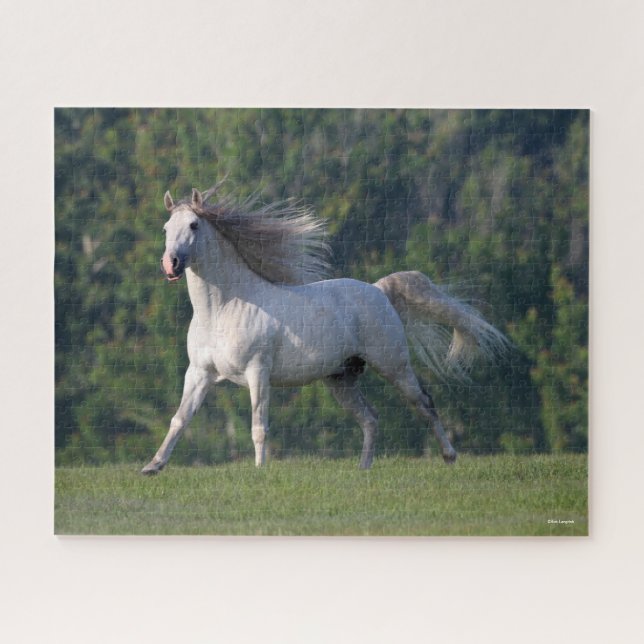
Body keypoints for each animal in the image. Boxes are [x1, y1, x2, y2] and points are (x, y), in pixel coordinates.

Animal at [141, 186, 508, 474]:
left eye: (193, 224)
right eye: (165, 228)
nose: (171, 264)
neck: (223, 309)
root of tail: (378, 291)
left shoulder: (258, 372)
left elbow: (259, 426)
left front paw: (259, 471)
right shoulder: (199, 373)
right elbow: (179, 418)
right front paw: (152, 466)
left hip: (394, 365)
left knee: (424, 404)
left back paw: (449, 456)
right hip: (340, 379)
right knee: (370, 418)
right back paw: (363, 469)